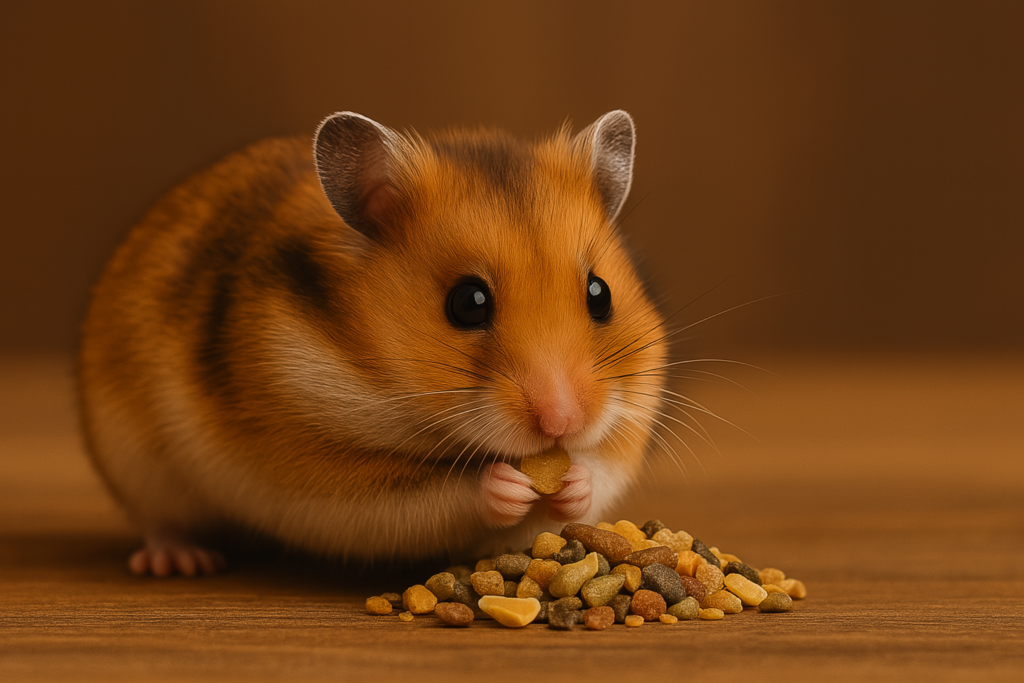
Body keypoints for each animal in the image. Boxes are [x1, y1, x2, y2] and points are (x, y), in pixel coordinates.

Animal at [78, 110, 667, 576]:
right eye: (468, 303)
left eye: (599, 293)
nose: (562, 422)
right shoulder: (316, 473)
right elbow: (440, 493)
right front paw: (506, 485)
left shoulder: (629, 423)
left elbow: (596, 471)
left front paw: (571, 483)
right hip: (135, 461)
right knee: (162, 523)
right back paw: (180, 563)